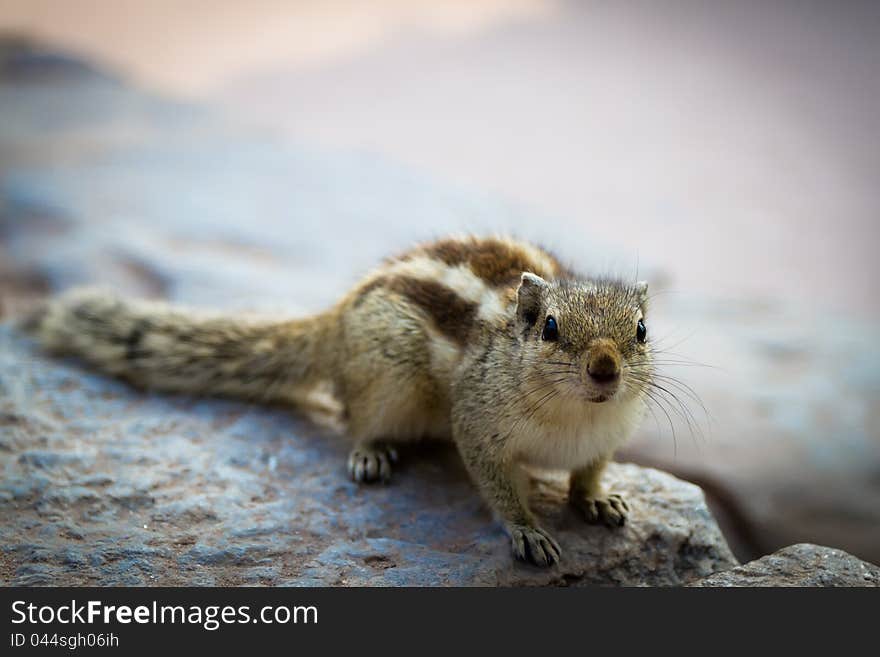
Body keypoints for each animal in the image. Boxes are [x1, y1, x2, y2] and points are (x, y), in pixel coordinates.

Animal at [27, 238, 652, 568]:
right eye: (550, 328)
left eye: (642, 330)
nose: (604, 369)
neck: (577, 413)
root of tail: (335, 321)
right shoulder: (477, 424)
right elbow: (497, 485)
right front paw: (527, 530)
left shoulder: (608, 437)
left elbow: (589, 473)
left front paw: (598, 501)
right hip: (391, 383)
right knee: (358, 419)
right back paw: (371, 453)